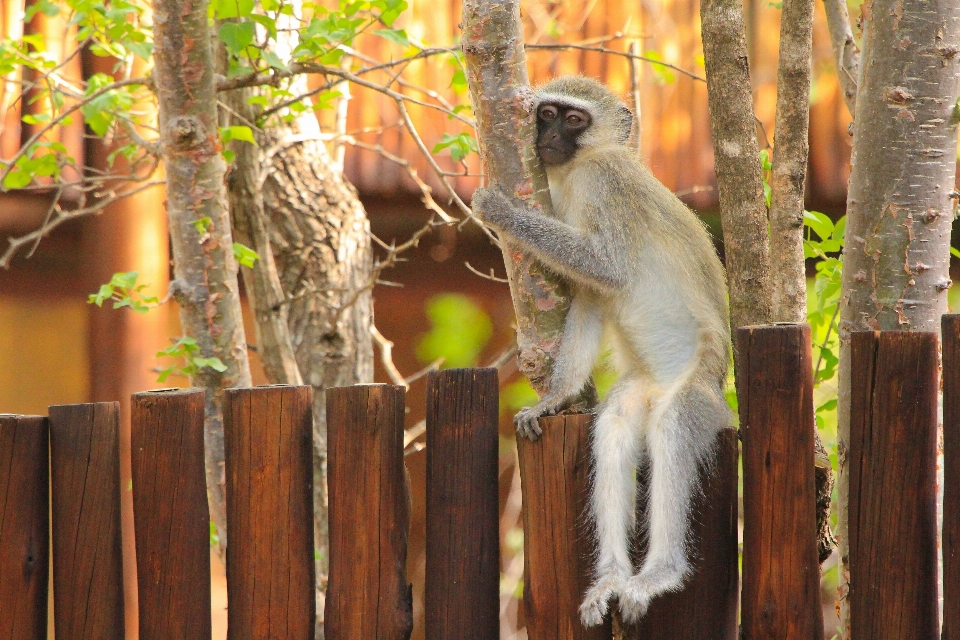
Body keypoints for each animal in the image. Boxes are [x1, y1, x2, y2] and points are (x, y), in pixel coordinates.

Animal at [470, 76, 728, 624]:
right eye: (546, 114)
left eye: (574, 120)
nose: (547, 137)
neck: (579, 168)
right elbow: (590, 294)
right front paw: (557, 398)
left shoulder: (608, 185)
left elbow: (604, 266)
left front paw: (502, 212)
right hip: (634, 394)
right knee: (612, 432)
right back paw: (610, 577)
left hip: (699, 393)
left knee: (673, 430)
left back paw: (658, 574)